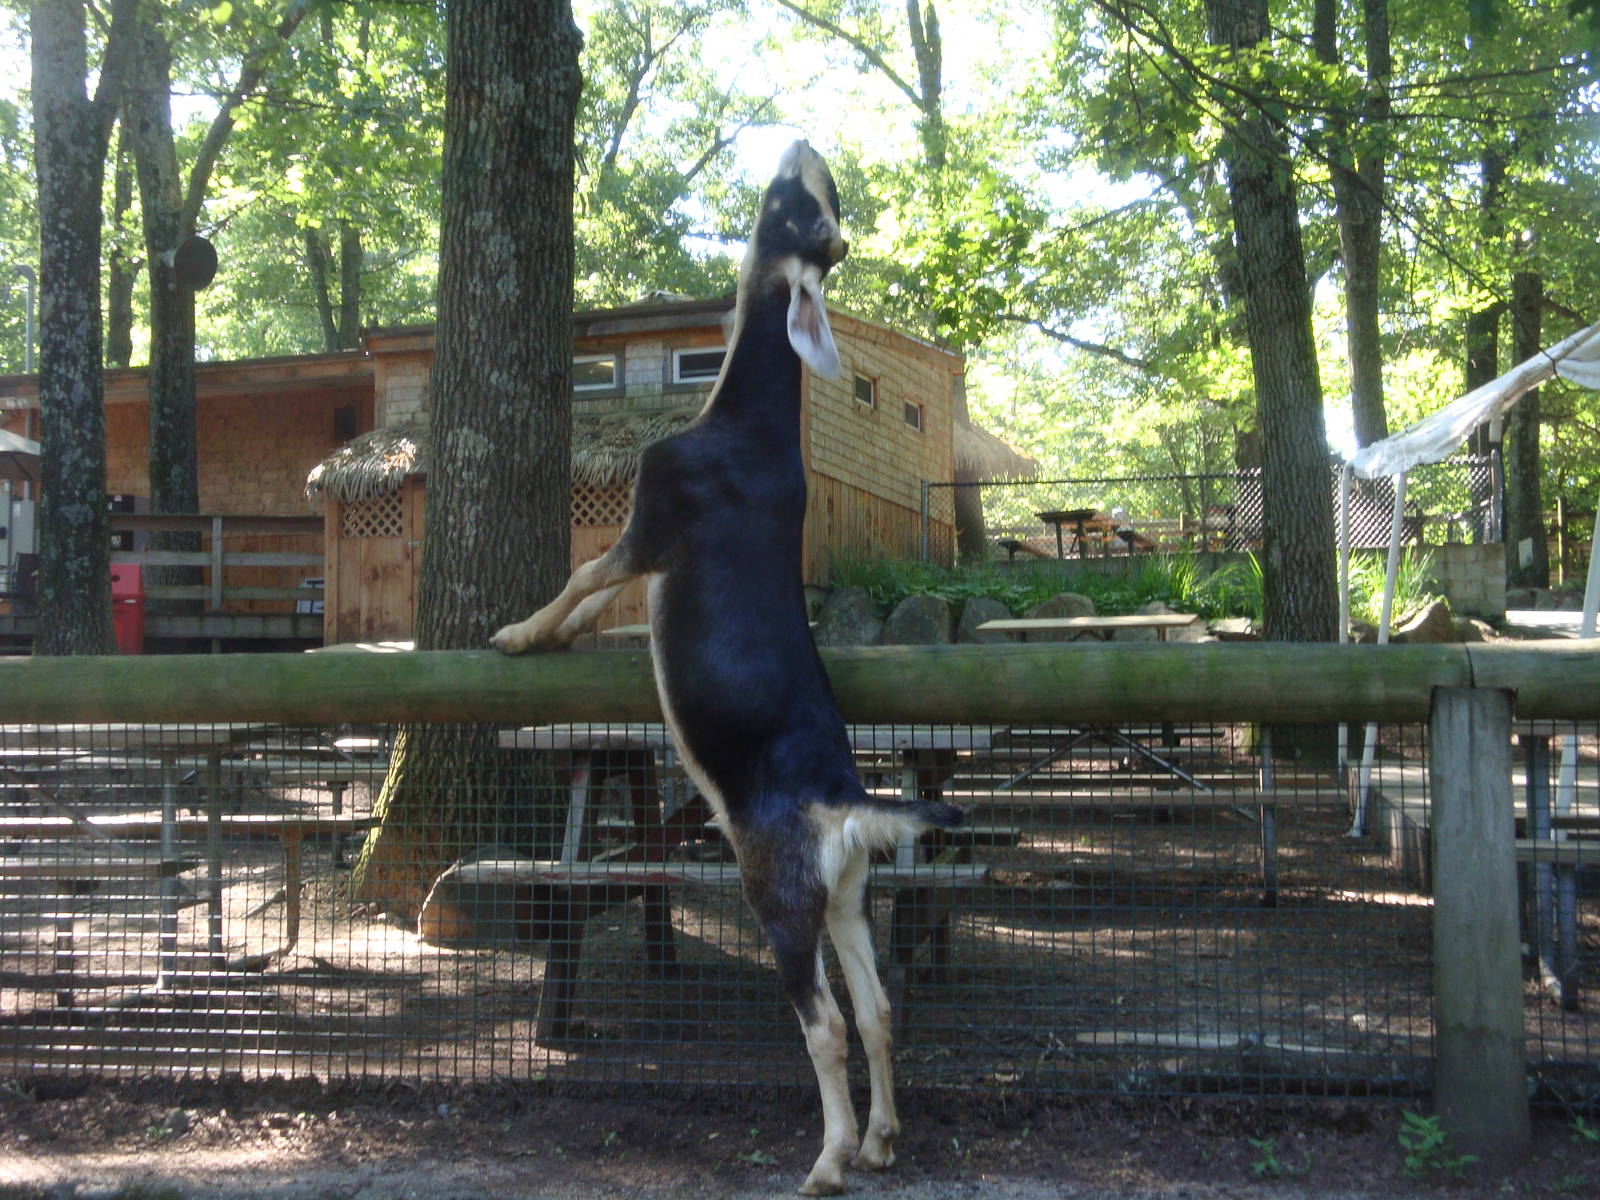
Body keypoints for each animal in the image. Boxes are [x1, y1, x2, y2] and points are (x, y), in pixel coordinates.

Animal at [492, 140, 962, 1195]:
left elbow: (584, 573)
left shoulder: (652, 523)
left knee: (825, 1025)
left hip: (776, 891)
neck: (745, 424)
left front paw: (520, 635)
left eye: (799, 211)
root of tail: (844, 801)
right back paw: (882, 1138)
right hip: (845, 895)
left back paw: (830, 1158)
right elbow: (598, 593)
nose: (805, 146)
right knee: (877, 1008)